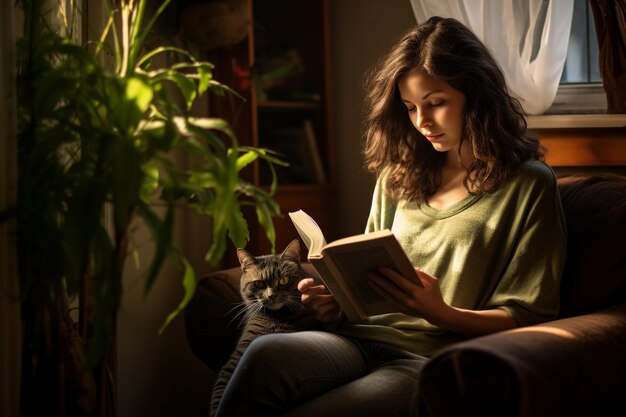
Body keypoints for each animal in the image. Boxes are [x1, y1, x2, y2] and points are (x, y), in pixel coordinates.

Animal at [210, 239, 320, 414]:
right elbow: (220, 389)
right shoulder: (237, 357)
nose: (272, 296)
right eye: (259, 283)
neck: (276, 318)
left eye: (283, 280)